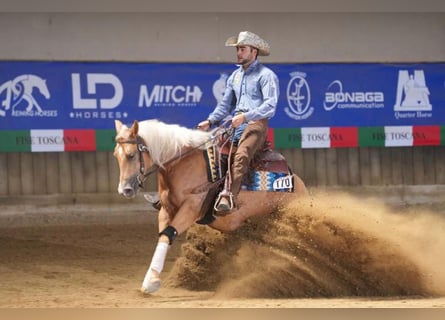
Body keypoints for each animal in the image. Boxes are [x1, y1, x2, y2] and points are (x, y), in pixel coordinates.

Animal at [112, 119, 306, 294]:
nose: (124, 189)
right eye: (116, 155)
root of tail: (296, 182)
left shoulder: (191, 208)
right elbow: (164, 237)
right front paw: (150, 279)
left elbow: (168, 233)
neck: (182, 163)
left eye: (131, 155)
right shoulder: (166, 209)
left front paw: (150, 282)